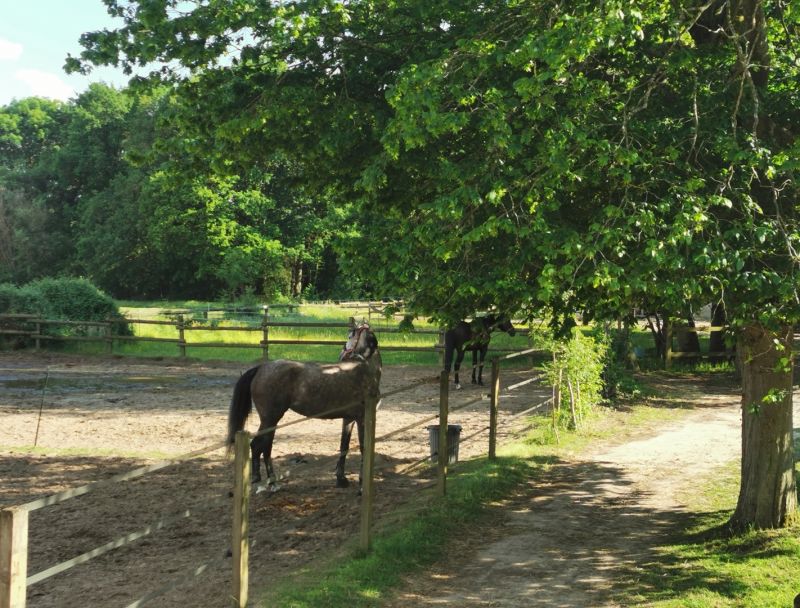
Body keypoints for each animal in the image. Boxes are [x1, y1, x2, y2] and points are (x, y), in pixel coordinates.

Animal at [225, 324, 382, 490]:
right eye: (350, 335)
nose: (342, 355)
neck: (364, 370)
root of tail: (261, 368)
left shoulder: (348, 419)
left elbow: (344, 446)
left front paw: (341, 479)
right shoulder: (362, 418)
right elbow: (364, 448)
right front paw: (362, 484)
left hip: (271, 421)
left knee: (265, 447)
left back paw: (271, 481)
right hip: (270, 418)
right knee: (258, 445)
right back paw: (264, 480)